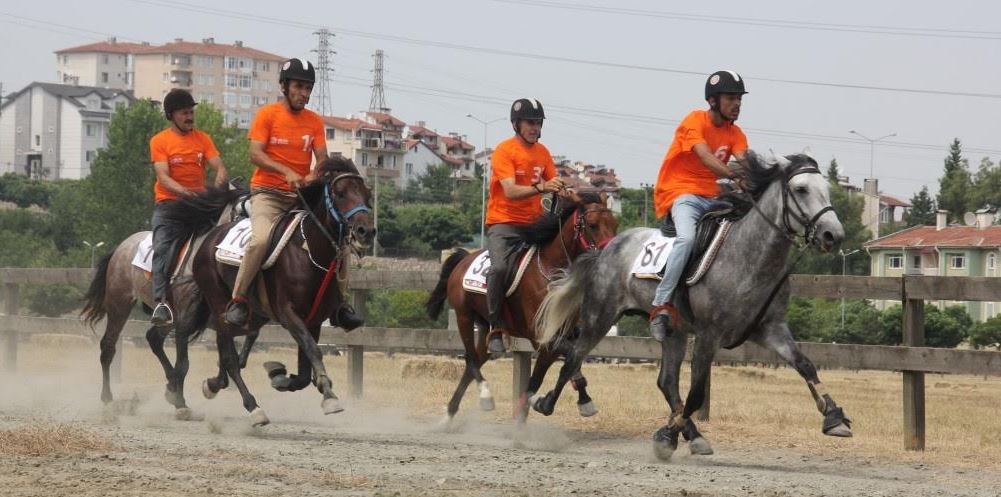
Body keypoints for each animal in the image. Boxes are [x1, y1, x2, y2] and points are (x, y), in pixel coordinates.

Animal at [81, 186, 247, 418]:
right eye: (241, 213)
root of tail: (122, 246)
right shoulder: (186, 320)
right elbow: (185, 363)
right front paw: (181, 402)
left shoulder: (216, 318)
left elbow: (226, 358)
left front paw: (205, 387)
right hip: (119, 304)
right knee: (108, 346)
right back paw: (108, 398)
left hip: (167, 317)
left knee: (153, 339)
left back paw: (170, 384)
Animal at [189, 156, 374, 426]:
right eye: (340, 193)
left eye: (367, 194)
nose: (366, 231)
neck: (309, 250)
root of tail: (209, 239)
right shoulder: (289, 315)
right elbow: (313, 351)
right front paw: (330, 397)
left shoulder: (314, 320)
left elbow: (305, 371)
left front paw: (280, 375)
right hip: (220, 305)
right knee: (230, 358)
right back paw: (253, 407)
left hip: (253, 316)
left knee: (229, 353)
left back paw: (214, 384)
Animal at [424, 190, 616, 422]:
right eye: (593, 225)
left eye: (615, 224)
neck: (552, 272)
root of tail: (464, 258)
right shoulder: (543, 336)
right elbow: (561, 364)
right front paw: (540, 402)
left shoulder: (561, 334)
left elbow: (556, 370)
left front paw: (577, 400)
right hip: (463, 316)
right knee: (471, 359)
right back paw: (484, 396)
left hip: (485, 327)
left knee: (474, 362)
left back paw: (449, 415)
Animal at [536, 149, 856, 460]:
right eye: (801, 189)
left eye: (827, 189)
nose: (833, 235)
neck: (749, 256)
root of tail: (606, 249)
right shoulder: (708, 336)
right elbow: (697, 392)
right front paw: (666, 435)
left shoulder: (771, 329)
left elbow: (805, 365)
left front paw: (834, 417)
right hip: (599, 316)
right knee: (574, 357)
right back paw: (549, 403)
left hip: (674, 332)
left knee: (666, 381)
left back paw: (693, 434)